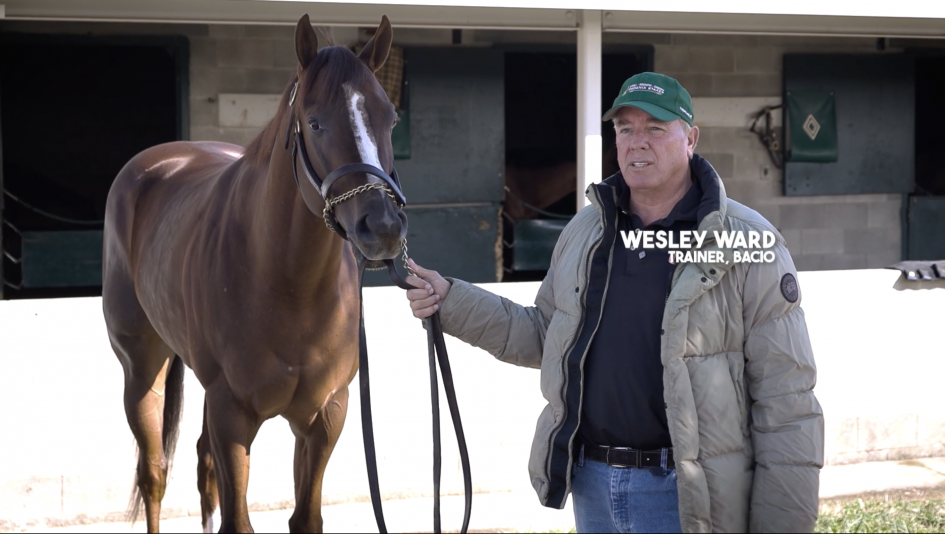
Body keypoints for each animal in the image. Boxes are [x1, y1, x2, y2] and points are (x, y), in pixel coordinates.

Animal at [102, 15, 407, 533]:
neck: (291, 286)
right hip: (141, 368)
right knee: (155, 473)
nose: (383, 227)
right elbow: (237, 520)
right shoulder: (233, 415)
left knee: (202, 468)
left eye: (390, 119)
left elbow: (305, 517)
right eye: (315, 122)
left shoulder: (326, 416)